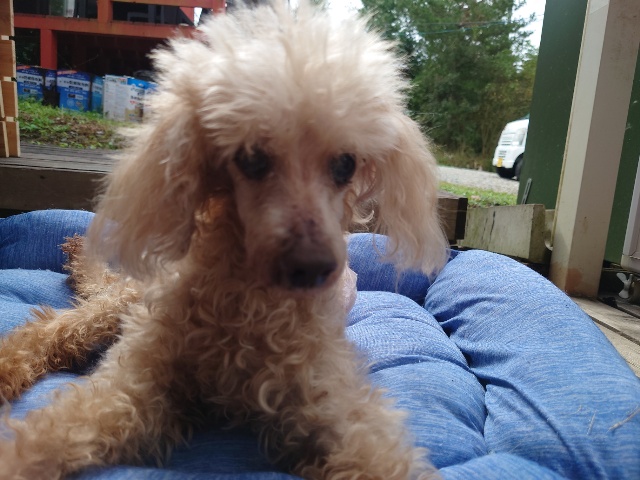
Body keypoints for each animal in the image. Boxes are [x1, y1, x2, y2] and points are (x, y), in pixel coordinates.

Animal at [0, 2, 448, 478]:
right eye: (251, 158)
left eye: (346, 164)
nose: (312, 268)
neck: (246, 300)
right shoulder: (136, 377)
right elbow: (53, 430)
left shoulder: (328, 395)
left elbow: (372, 452)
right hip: (127, 301)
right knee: (55, 327)